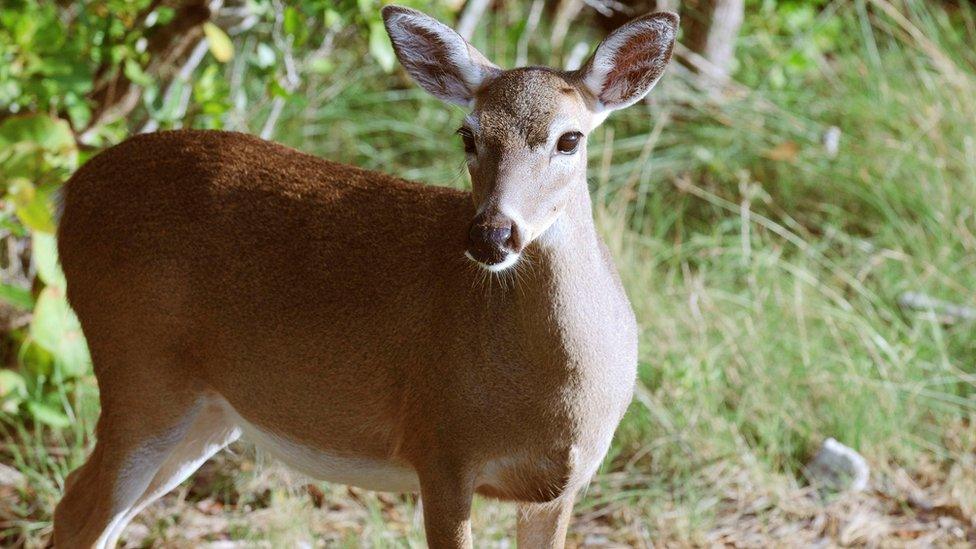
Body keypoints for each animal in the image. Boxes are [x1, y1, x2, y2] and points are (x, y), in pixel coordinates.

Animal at [51, 5, 680, 548]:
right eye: (468, 135)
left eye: (570, 138)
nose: (490, 235)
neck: (553, 397)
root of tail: (67, 195)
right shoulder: (440, 448)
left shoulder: (559, 486)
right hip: (138, 365)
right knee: (78, 508)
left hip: (206, 410)